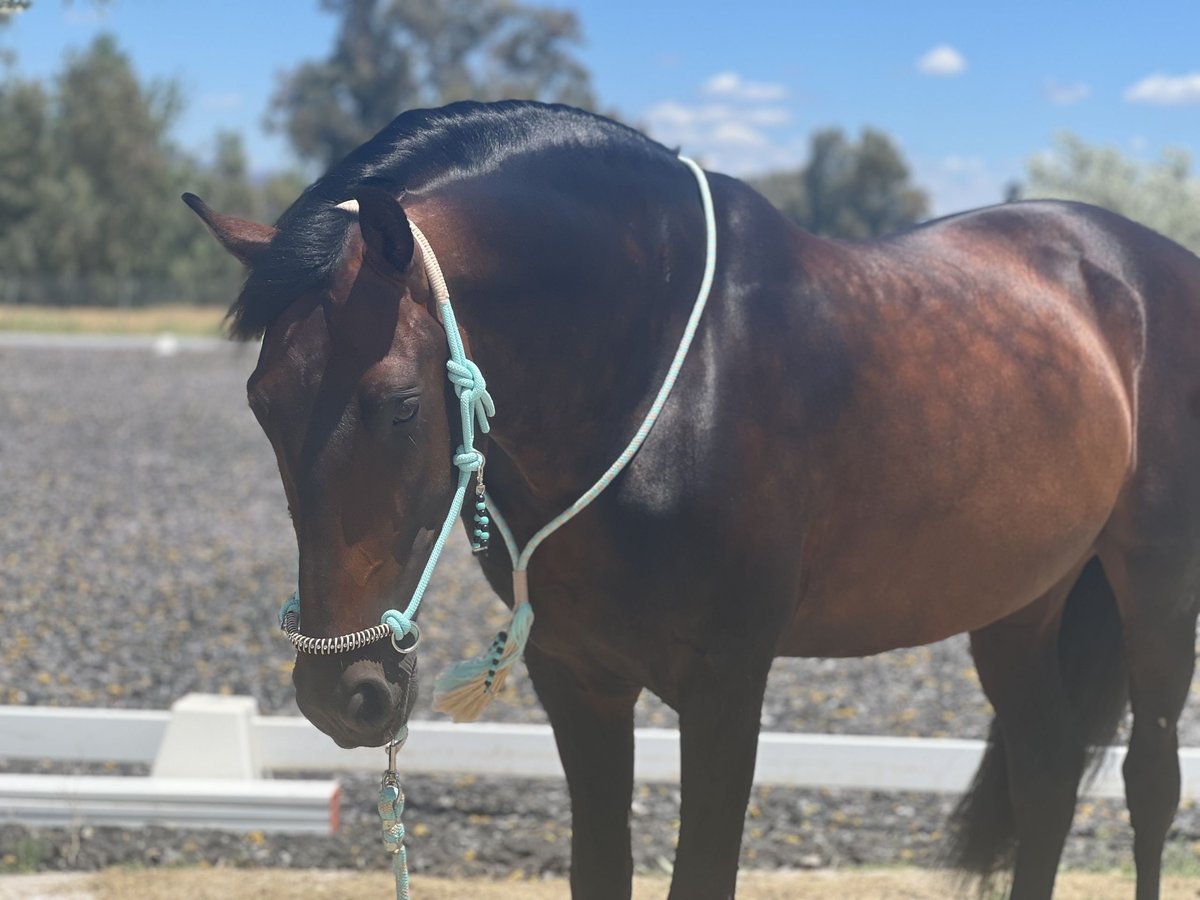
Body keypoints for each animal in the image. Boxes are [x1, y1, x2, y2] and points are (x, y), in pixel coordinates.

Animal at [182, 100, 1200, 900]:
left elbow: (701, 875)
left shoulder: (726, 687)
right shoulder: (577, 678)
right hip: (1020, 606)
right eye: (260, 401)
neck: (668, 373)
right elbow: (601, 870)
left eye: (397, 404)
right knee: (1049, 770)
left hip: (1154, 587)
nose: (342, 693)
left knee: (1148, 780)